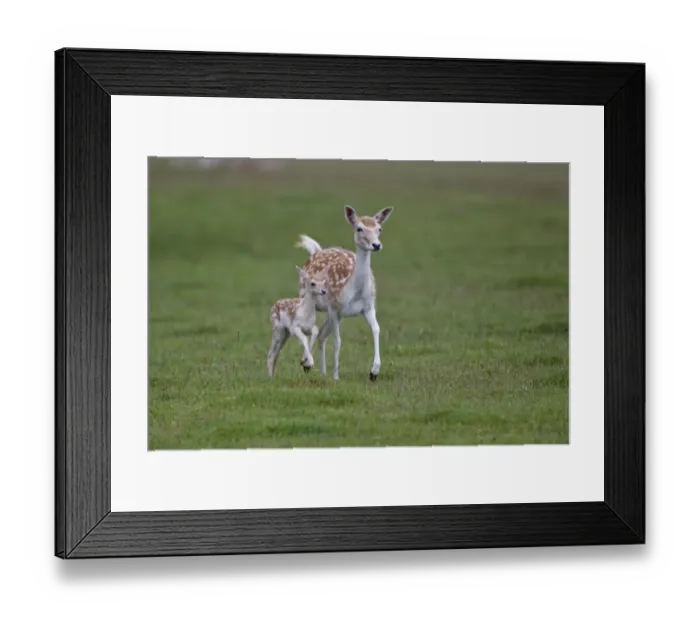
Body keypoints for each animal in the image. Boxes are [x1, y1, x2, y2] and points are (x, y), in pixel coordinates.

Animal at [295, 205, 394, 382]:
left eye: (379, 229)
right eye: (359, 228)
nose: (376, 245)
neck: (355, 291)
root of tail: (316, 251)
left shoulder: (368, 307)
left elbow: (376, 329)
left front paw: (374, 371)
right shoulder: (335, 307)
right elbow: (337, 341)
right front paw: (336, 376)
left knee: (321, 334)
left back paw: (322, 373)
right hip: (308, 299)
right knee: (313, 329)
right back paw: (307, 363)